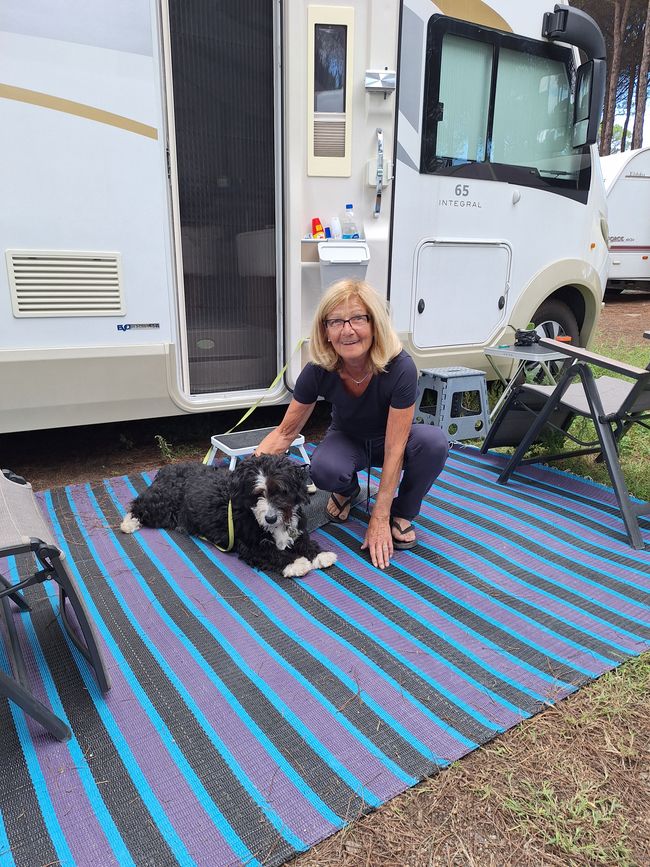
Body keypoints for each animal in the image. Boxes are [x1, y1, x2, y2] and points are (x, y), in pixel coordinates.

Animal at [119, 458, 336, 580]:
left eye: (281, 491)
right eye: (257, 494)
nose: (270, 518)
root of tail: (166, 469)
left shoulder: (297, 530)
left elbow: (305, 542)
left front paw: (320, 554)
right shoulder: (250, 545)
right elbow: (272, 552)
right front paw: (296, 563)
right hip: (162, 505)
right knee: (139, 505)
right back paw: (129, 523)